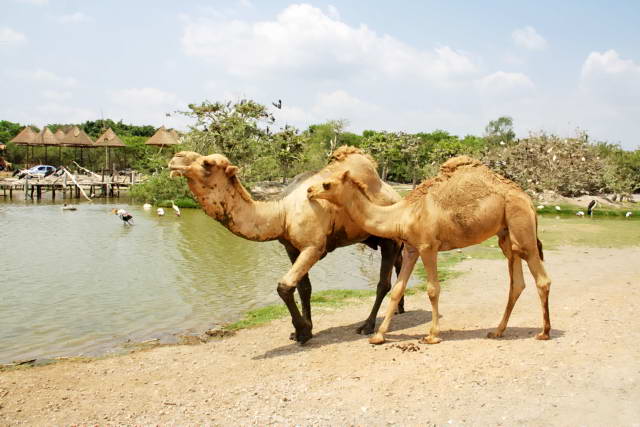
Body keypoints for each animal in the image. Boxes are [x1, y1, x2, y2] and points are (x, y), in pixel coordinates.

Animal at [168, 147, 402, 344]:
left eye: (206, 163)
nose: (175, 158)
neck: (282, 213)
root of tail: (395, 194)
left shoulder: (313, 246)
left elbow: (285, 286)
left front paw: (302, 332)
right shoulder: (290, 247)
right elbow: (304, 287)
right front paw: (307, 329)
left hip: (389, 239)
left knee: (383, 283)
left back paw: (367, 326)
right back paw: (400, 309)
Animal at [308, 155, 552, 346]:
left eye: (327, 184)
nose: (309, 191)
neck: (401, 215)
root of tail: (528, 200)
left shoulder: (428, 247)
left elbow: (433, 289)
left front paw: (432, 335)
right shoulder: (411, 249)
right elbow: (397, 290)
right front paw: (378, 336)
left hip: (521, 226)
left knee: (541, 278)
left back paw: (544, 332)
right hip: (506, 234)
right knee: (516, 282)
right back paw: (497, 331)